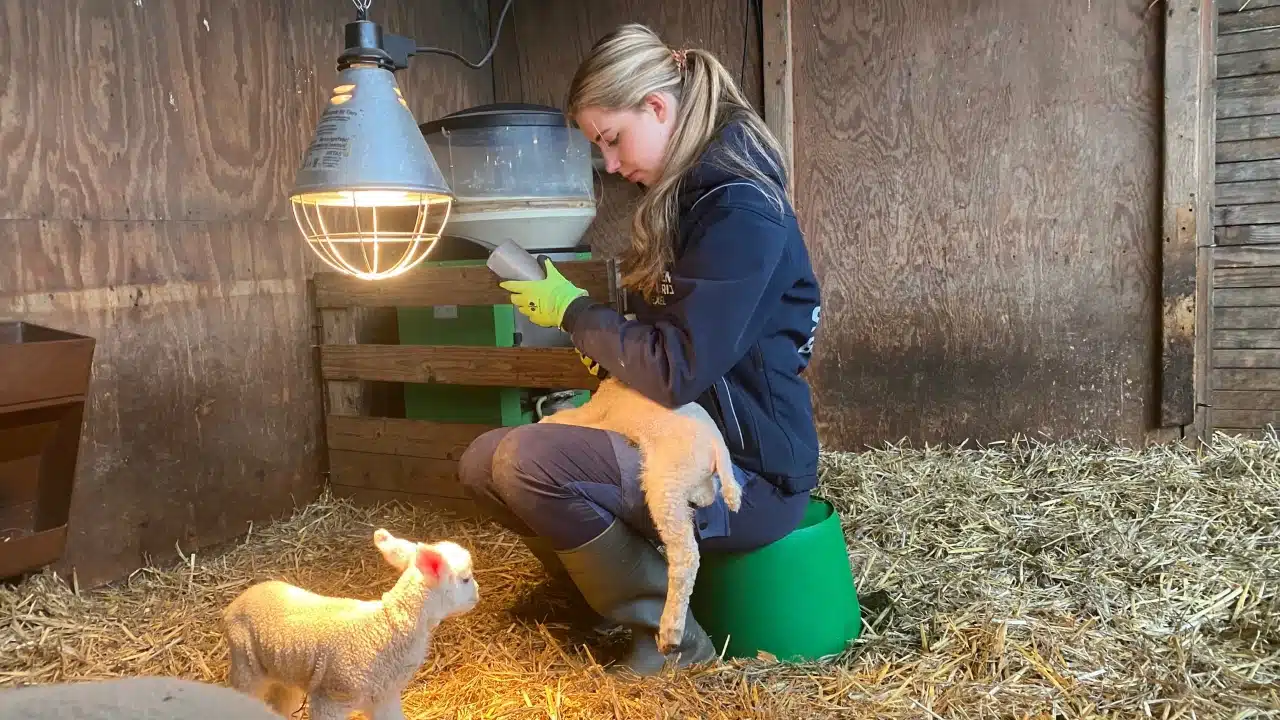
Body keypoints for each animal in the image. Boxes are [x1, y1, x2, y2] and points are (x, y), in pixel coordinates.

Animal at [220, 527, 481, 717]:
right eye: (465, 579)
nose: (478, 595)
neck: (388, 626)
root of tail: (236, 602)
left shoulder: (384, 697)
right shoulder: (331, 699)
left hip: (284, 673)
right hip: (246, 666)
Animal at [537, 371, 742, 653]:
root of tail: (717, 446)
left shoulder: (594, 413)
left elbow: (565, 418)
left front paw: (544, 420)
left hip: (666, 483)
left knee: (686, 555)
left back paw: (670, 632)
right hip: (693, 481)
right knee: (707, 495)